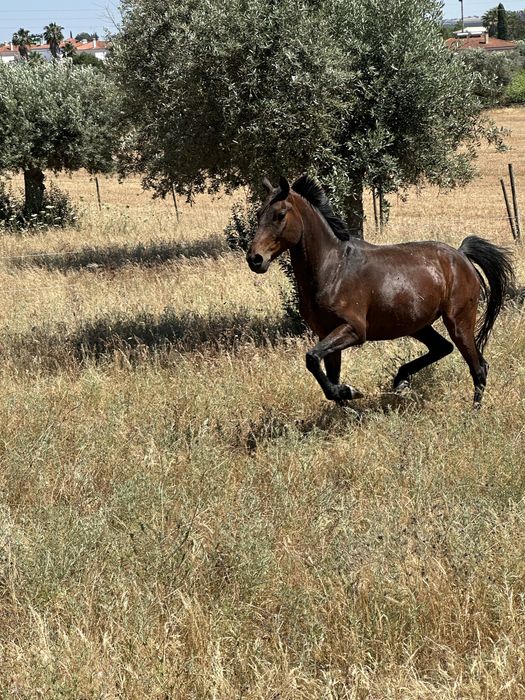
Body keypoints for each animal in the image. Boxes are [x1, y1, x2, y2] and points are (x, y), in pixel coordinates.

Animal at [246, 175, 515, 407]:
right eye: (259, 214)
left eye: (280, 215)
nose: (255, 259)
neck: (332, 268)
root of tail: (461, 255)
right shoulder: (326, 333)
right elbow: (326, 378)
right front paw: (347, 398)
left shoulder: (354, 330)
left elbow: (312, 358)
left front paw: (350, 391)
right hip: (418, 325)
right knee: (443, 348)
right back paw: (401, 378)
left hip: (459, 322)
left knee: (478, 367)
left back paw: (472, 413)